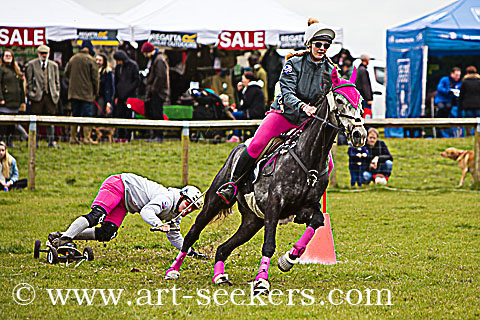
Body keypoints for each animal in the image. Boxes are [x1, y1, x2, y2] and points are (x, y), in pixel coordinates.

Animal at [166, 67, 368, 292]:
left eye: (360, 101)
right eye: (340, 100)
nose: (359, 134)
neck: (308, 157)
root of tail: (238, 148)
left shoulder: (304, 208)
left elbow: (317, 221)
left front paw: (288, 259)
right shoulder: (274, 206)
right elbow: (269, 245)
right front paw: (262, 280)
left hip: (252, 221)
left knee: (223, 248)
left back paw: (219, 276)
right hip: (214, 203)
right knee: (193, 233)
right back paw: (173, 270)